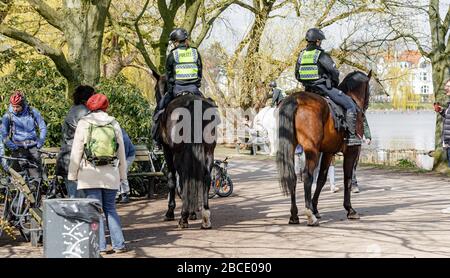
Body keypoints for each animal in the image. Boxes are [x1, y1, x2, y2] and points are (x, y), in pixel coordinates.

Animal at [154, 77, 219, 229]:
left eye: (155, 89)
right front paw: (193, 213)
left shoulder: (167, 151)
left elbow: (172, 179)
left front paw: (171, 212)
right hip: (208, 151)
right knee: (206, 177)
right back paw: (205, 217)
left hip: (178, 154)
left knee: (184, 177)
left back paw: (183, 217)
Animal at [276, 69, 370, 226]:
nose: (367, 105)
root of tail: (296, 99)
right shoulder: (351, 152)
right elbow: (347, 178)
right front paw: (350, 209)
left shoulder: (327, 152)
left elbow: (322, 178)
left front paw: (315, 208)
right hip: (311, 150)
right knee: (307, 176)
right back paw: (309, 215)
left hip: (292, 148)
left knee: (293, 177)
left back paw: (295, 215)